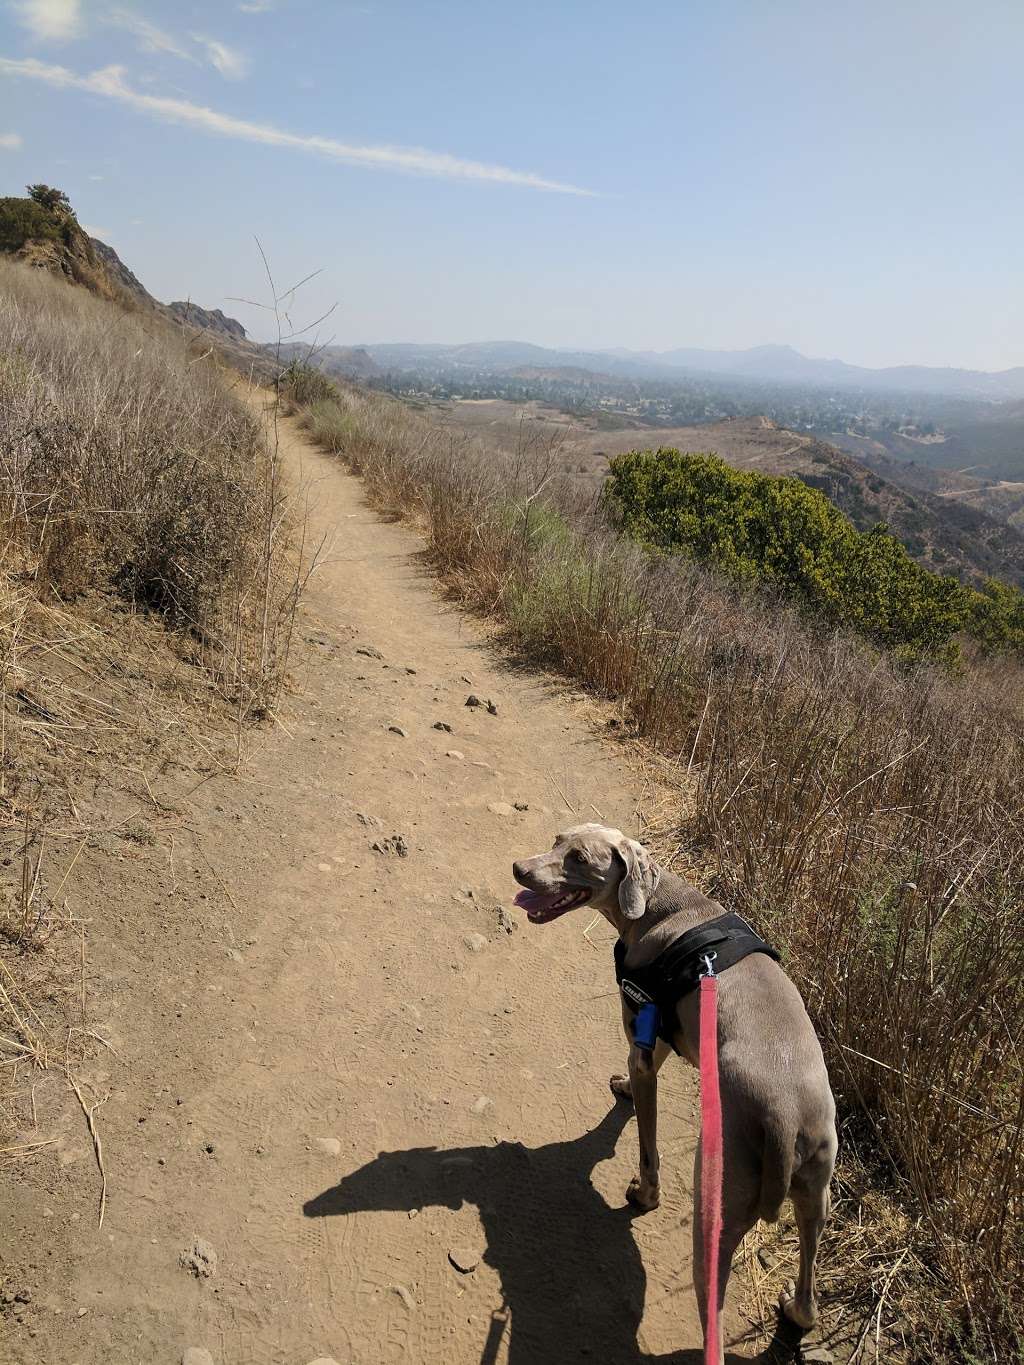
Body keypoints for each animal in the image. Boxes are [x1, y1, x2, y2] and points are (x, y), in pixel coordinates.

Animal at [513, 819, 841, 1365]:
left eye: (579, 858)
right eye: (557, 840)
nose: (519, 869)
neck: (662, 904)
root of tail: (785, 1114)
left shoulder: (642, 1036)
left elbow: (646, 1141)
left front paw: (644, 1193)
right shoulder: (663, 1031)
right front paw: (623, 1089)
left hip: (717, 1207)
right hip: (818, 1189)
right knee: (811, 1283)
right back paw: (796, 1313)